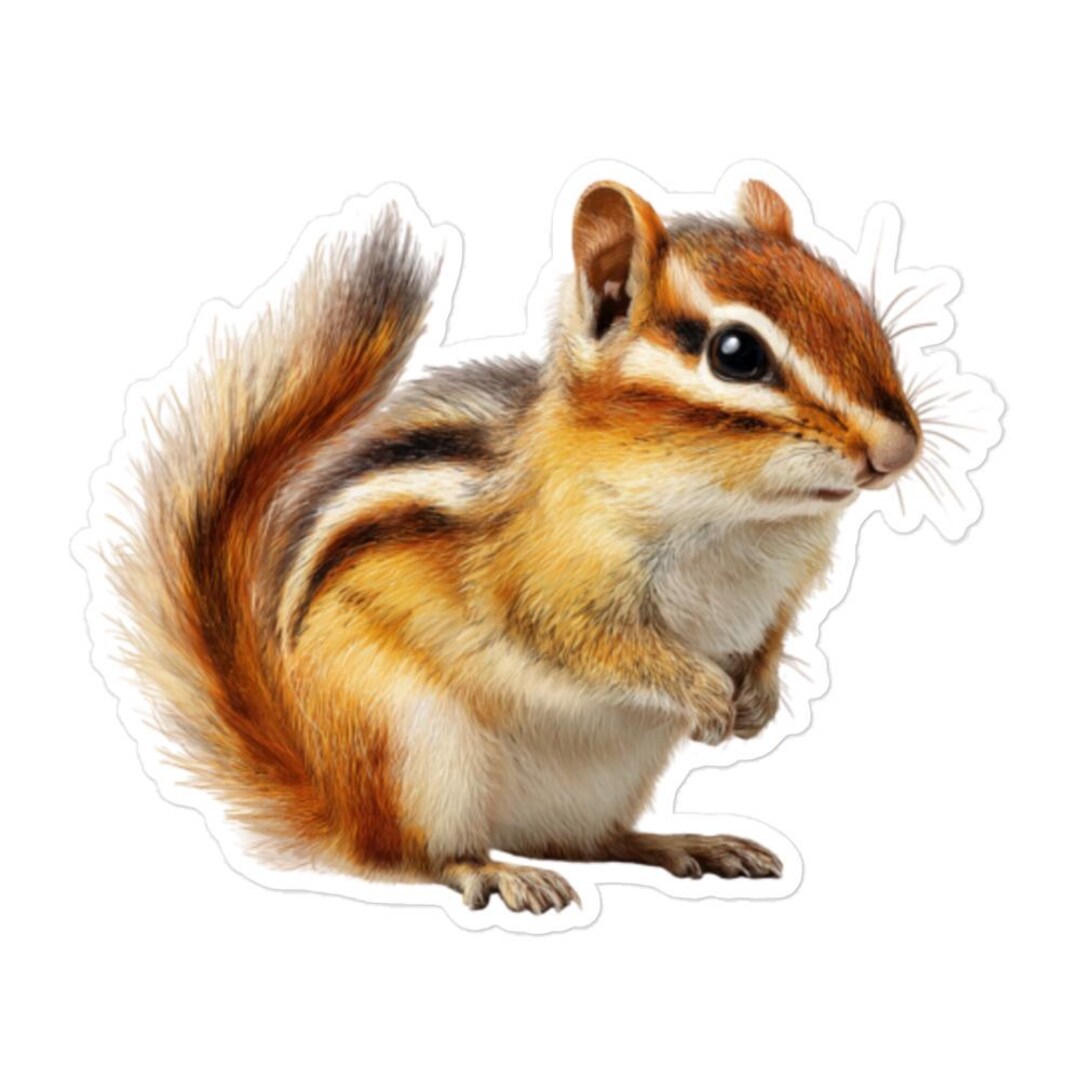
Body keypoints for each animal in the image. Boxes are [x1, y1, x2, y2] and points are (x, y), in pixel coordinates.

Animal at [107, 178, 921, 914]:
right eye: (736, 353)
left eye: (857, 305)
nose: (897, 450)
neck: (748, 518)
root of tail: (327, 788)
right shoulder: (541, 582)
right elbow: (587, 642)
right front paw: (706, 694)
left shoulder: (788, 584)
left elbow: (773, 632)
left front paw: (760, 696)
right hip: (418, 751)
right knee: (411, 857)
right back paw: (495, 872)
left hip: (604, 778)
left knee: (583, 841)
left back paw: (682, 842)